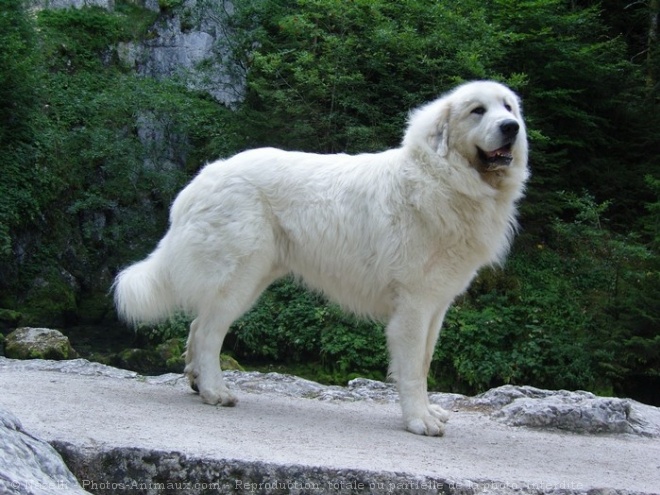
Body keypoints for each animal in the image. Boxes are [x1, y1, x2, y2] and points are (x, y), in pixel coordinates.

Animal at [112, 79, 524, 436]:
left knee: (198, 327)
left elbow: (423, 363)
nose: (512, 127)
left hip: (251, 278)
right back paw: (216, 391)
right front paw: (418, 421)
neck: (443, 178)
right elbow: (411, 370)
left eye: (507, 107)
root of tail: (200, 179)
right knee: (210, 333)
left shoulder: (435, 306)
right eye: (477, 111)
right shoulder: (413, 306)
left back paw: (199, 384)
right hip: (239, 278)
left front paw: (428, 411)